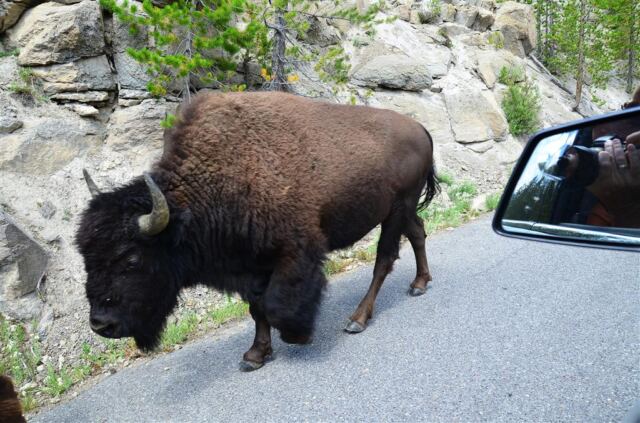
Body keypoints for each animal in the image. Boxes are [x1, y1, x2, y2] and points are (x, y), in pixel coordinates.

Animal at [76, 91, 439, 370]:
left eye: (132, 258)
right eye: (85, 257)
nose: (101, 324)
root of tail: (420, 128)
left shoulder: (294, 253)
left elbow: (276, 304)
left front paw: (297, 335)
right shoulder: (249, 264)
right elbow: (257, 308)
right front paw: (254, 355)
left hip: (397, 210)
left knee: (384, 259)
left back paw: (358, 319)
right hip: (402, 211)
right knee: (418, 233)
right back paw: (419, 284)